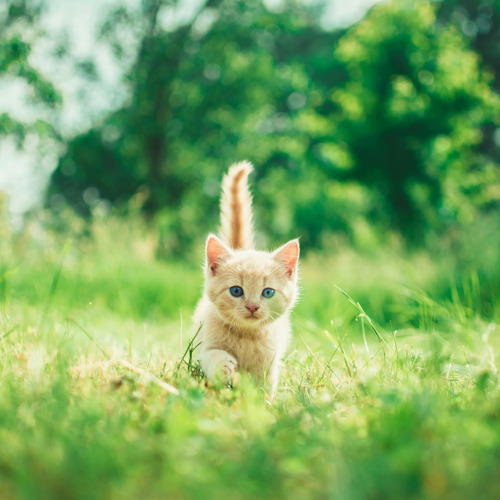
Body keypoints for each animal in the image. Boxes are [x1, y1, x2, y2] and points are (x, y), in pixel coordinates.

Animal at [193, 162, 298, 396]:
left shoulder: (269, 363)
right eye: (236, 291)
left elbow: (265, 387)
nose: (252, 307)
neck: (246, 337)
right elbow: (210, 355)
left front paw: (263, 403)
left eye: (267, 292)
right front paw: (223, 364)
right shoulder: (205, 343)